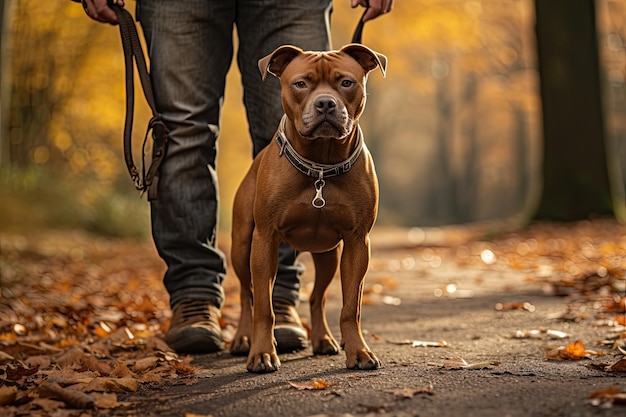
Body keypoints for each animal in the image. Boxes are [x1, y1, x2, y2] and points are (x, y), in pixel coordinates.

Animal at [229, 44, 386, 372]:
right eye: (300, 83)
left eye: (346, 82)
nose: (325, 103)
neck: (321, 165)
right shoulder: (264, 241)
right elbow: (263, 307)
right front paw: (262, 353)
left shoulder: (357, 243)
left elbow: (350, 307)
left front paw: (359, 351)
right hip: (242, 247)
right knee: (247, 295)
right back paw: (243, 338)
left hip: (328, 255)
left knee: (318, 297)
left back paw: (324, 340)